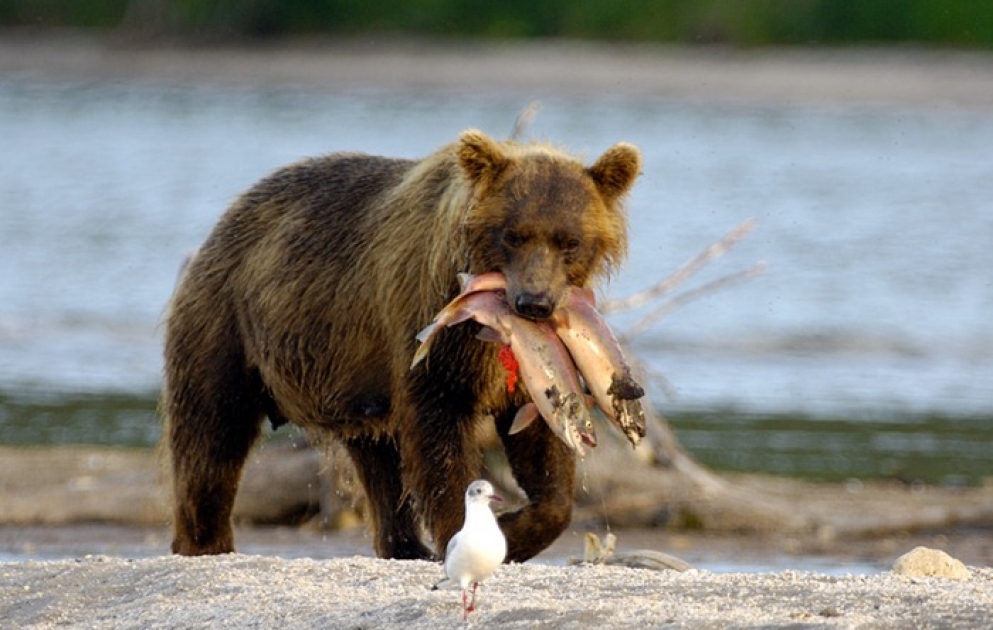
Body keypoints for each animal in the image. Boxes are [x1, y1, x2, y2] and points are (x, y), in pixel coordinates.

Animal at [162, 128, 641, 562]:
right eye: (513, 235)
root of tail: (228, 217)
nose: (534, 303)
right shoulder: (431, 322)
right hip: (228, 325)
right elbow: (438, 434)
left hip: (354, 382)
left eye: (569, 241)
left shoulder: (532, 367)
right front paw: (468, 532)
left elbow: (542, 453)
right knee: (212, 435)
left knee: (380, 464)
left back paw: (405, 546)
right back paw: (205, 541)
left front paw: (516, 528)